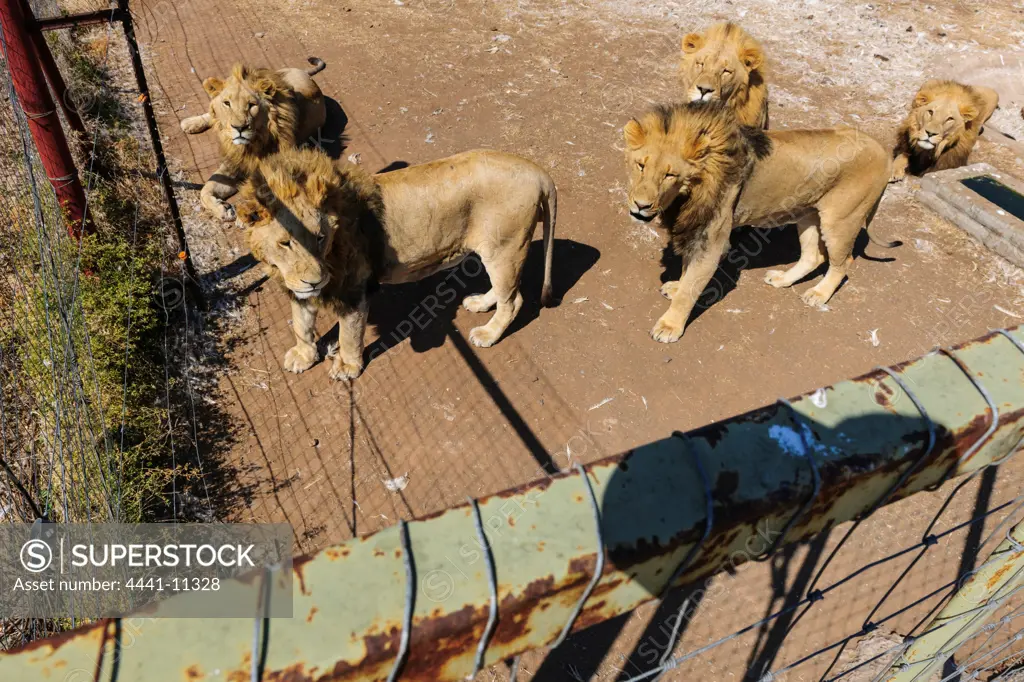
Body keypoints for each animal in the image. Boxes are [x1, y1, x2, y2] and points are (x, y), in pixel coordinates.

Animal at [180, 57, 327, 220]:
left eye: (252, 105)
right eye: (227, 103)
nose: (239, 128)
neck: (251, 145)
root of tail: (303, 73)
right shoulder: (233, 163)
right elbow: (205, 189)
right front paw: (222, 209)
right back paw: (190, 123)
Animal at [235, 147, 557, 376]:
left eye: (320, 237)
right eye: (286, 242)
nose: (315, 281)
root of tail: (537, 171)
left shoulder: (354, 290)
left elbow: (348, 334)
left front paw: (348, 367)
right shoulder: (300, 290)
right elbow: (301, 326)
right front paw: (303, 356)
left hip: (505, 249)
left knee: (513, 300)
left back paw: (488, 334)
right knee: (504, 293)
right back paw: (479, 303)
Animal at [618, 100, 892, 342]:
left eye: (670, 175)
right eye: (640, 165)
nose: (641, 205)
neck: (687, 193)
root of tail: (882, 150)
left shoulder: (713, 238)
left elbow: (690, 288)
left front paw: (670, 326)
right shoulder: (696, 230)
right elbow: (687, 271)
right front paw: (676, 287)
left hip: (840, 220)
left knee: (843, 262)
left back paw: (818, 294)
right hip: (808, 215)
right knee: (813, 256)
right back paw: (782, 280)